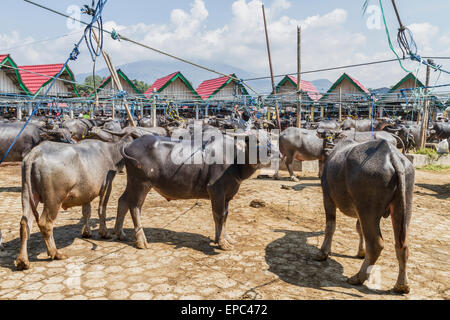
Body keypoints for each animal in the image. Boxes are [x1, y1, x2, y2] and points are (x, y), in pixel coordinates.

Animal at [14, 137, 134, 270]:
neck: (110, 152)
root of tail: (35, 153)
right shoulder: (107, 186)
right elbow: (101, 209)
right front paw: (104, 233)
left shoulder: (86, 193)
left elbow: (86, 211)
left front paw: (86, 232)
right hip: (54, 199)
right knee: (46, 223)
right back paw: (56, 253)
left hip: (27, 193)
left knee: (24, 223)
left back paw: (22, 261)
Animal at [114, 129, 270, 250]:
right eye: (253, 140)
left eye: (267, 140)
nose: (266, 152)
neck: (235, 160)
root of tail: (131, 142)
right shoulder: (216, 190)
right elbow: (219, 215)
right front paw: (222, 243)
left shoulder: (227, 195)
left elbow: (224, 216)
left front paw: (224, 238)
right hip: (141, 183)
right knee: (135, 207)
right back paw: (141, 240)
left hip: (132, 182)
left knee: (123, 201)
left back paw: (119, 233)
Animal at [314, 139, 414, 294]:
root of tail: (392, 156)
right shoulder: (358, 211)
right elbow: (358, 228)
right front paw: (361, 252)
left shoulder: (328, 197)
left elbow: (330, 226)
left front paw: (323, 253)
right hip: (403, 205)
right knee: (402, 244)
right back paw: (401, 285)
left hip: (367, 209)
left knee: (375, 244)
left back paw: (358, 278)